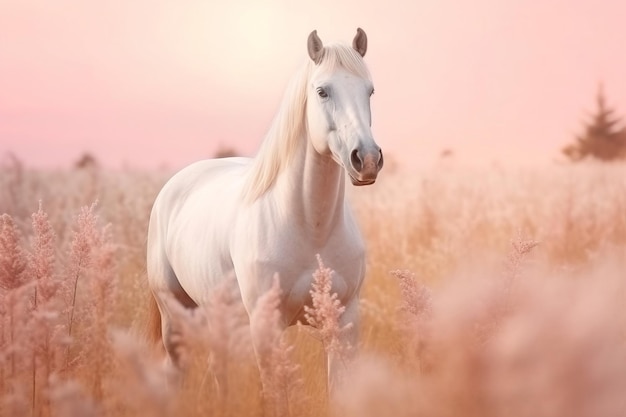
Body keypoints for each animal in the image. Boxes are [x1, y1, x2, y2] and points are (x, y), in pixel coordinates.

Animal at [146, 28, 380, 390]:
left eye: (369, 90)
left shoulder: (345, 322)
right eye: (322, 91)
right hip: (174, 318)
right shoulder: (266, 327)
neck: (311, 226)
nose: (366, 159)